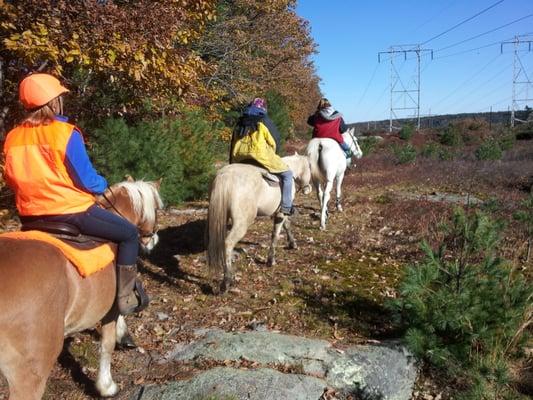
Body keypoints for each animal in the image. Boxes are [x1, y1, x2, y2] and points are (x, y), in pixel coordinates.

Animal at [0, 179, 163, 400]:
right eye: (158, 209)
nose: (151, 240)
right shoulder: (111, 309)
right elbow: (107, 344)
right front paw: (106, 386)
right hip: (29, 374)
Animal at [205, 152, 312, 292]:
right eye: (310, 167)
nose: (307, 189)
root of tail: (225, 176)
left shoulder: (280, 212)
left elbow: (287, 225)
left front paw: (292, 243)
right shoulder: (281, 212)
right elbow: (275, 234)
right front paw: (271, 260)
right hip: (242, 223)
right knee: (228, 243)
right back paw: (226, 281)